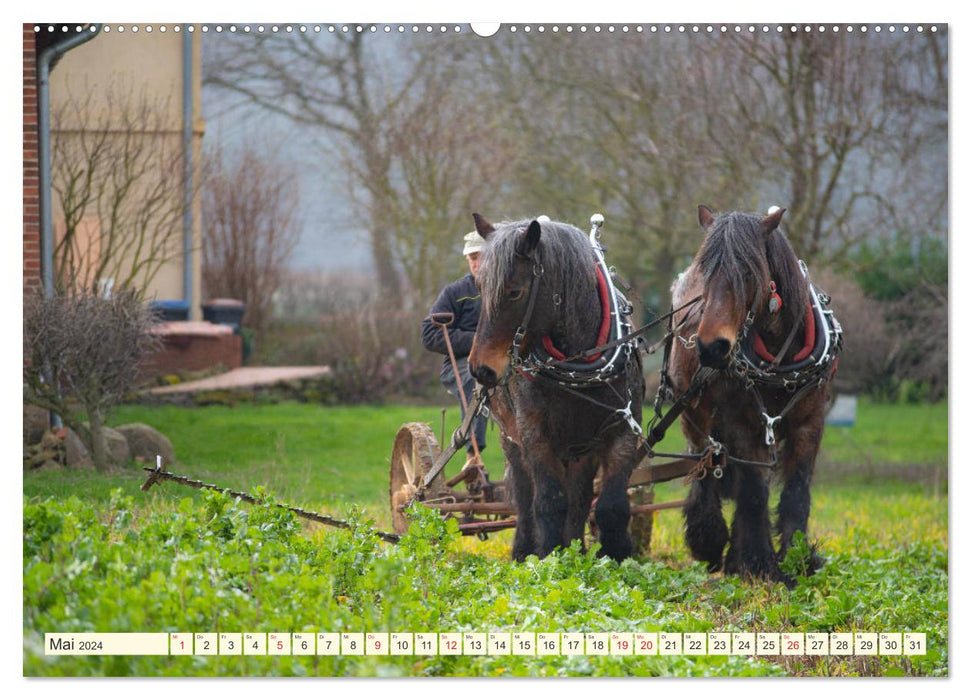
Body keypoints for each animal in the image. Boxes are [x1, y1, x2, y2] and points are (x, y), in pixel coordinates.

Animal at [468, 213, 644, 564]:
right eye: (479, 287)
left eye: (514, 292)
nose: (481, 368)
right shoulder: (534, 434)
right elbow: (548, 501)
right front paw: (550, 557)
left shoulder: (623, 428)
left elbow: (611, 505)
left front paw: (616, 557)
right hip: (512, 440)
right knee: (524, 496)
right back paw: (525, 550)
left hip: (580, 448)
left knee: (579, 498)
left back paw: (577, 547)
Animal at [672, 206, 840, 584]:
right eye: (705, 269)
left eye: (747, 272)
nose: (711, 348)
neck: (781, 359)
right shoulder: (743, 425)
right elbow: (753, 493)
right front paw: (759, 563)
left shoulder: (810, 423)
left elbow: (796, 492)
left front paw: (797, 560)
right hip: (694, 412)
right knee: (705, 469)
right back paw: (709, 540)